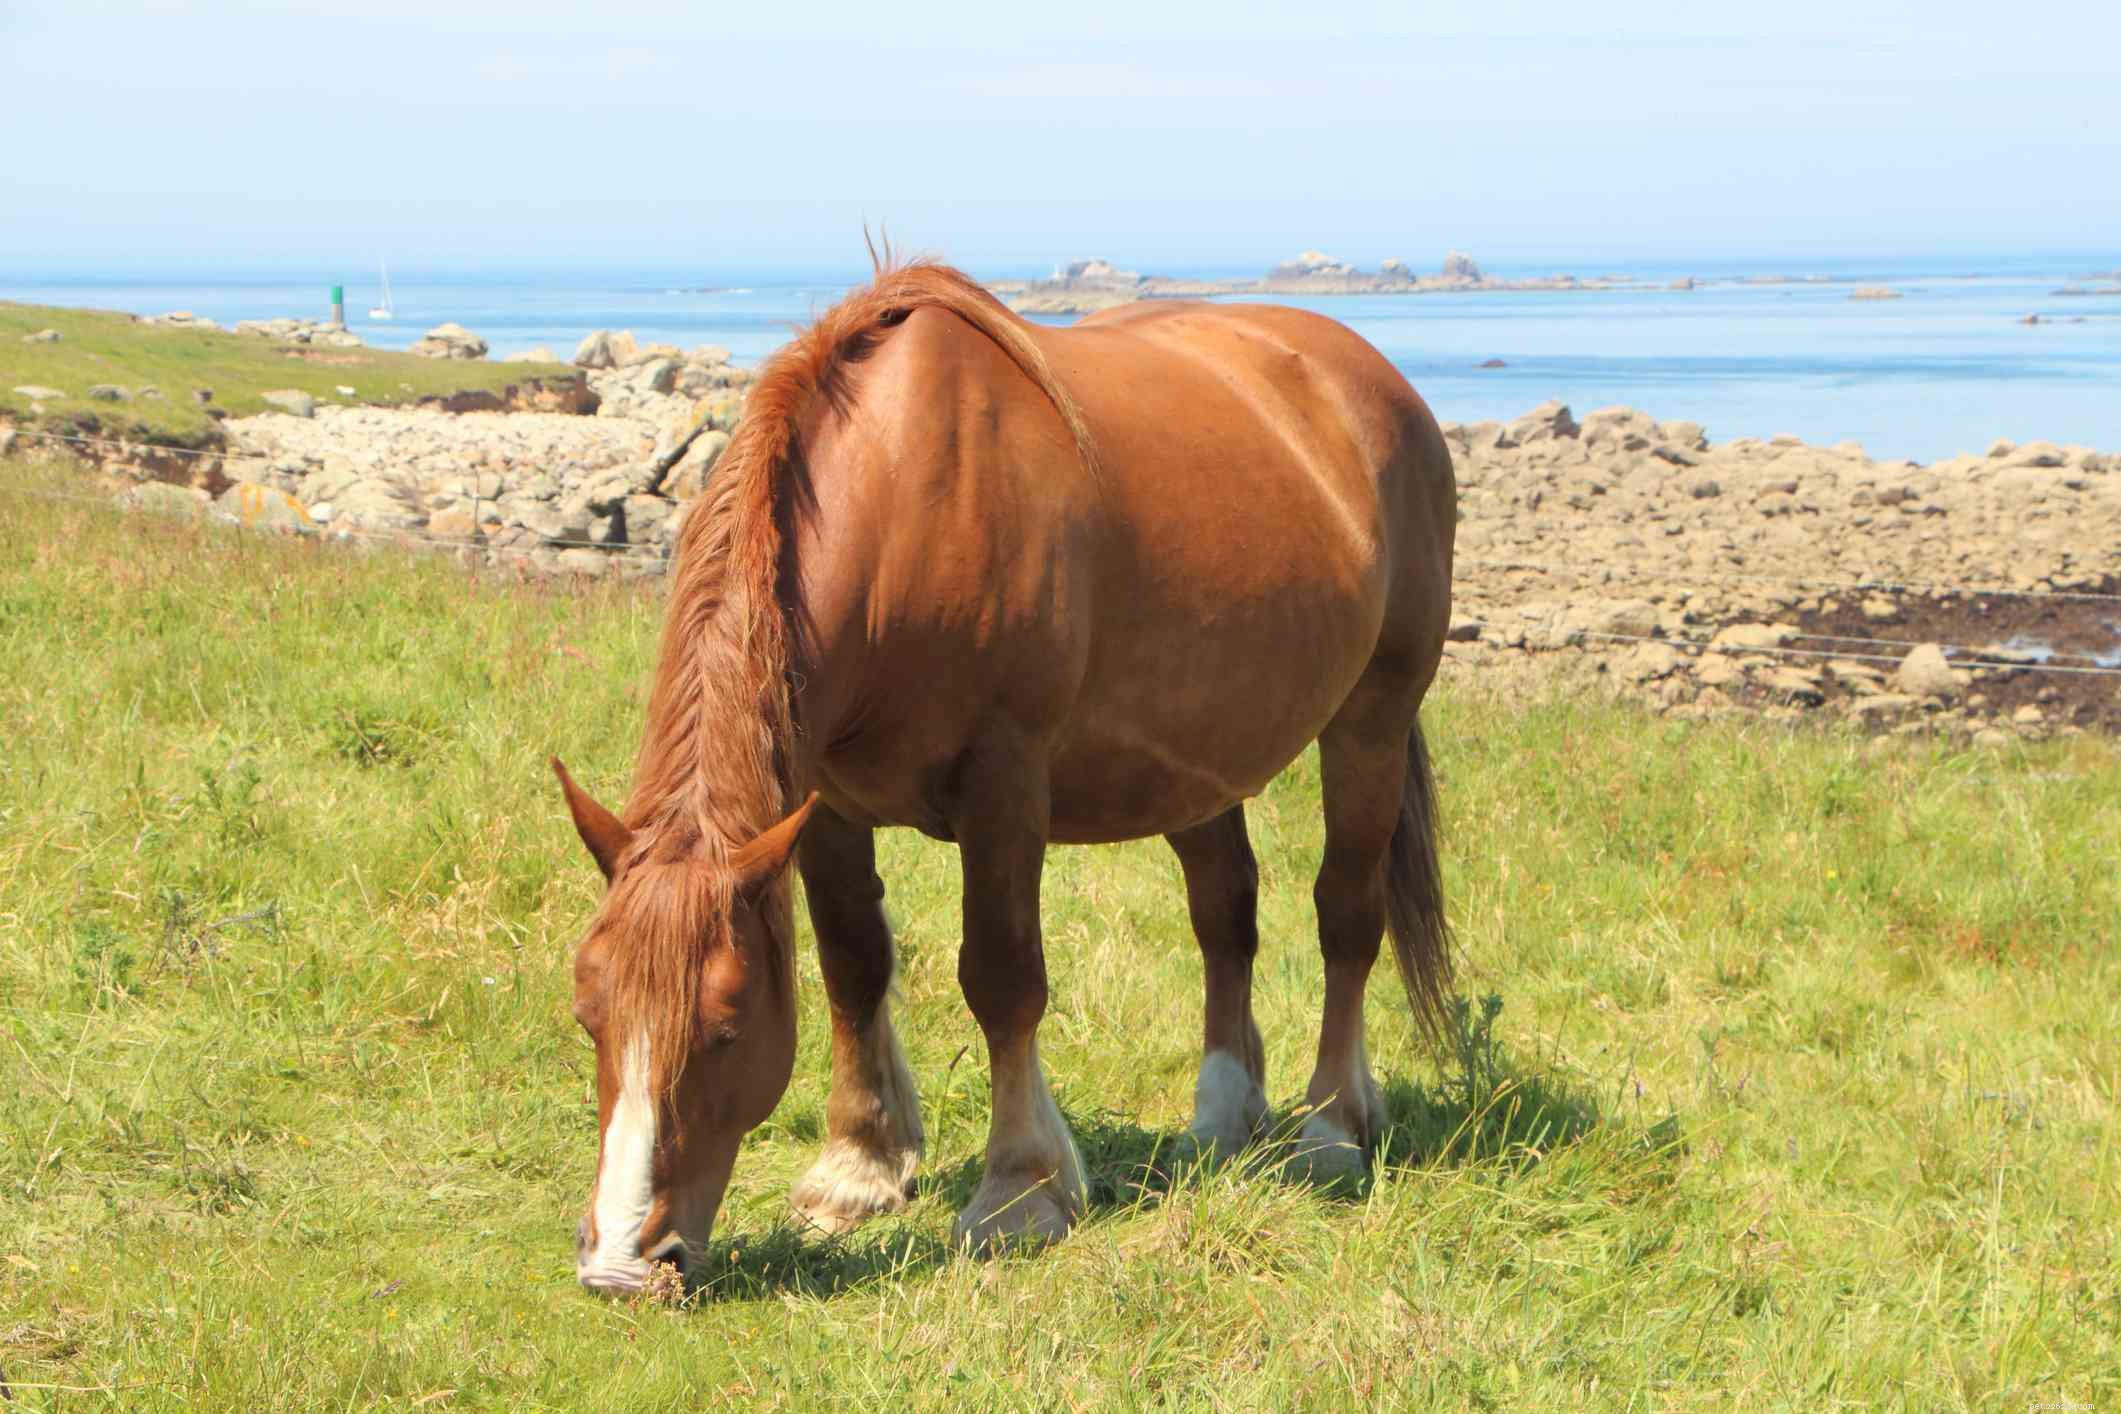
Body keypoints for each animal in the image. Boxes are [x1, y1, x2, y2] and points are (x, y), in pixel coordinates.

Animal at [554, 256, 1456, 1294]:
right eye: (588, 1017)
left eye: (728, 1028)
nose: (624, 1262)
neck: (904, 502)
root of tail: (1372, 383)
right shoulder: (822, 803)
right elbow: (852, 965)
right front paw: (859, 1167)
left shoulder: (1005, 784)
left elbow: (1002, 976)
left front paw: (1019, 1191)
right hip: (1194, 754)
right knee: (1224, 914)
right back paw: (1224, 1118)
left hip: (1371, 720)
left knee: (1346, 914)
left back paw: (1331, 1127)